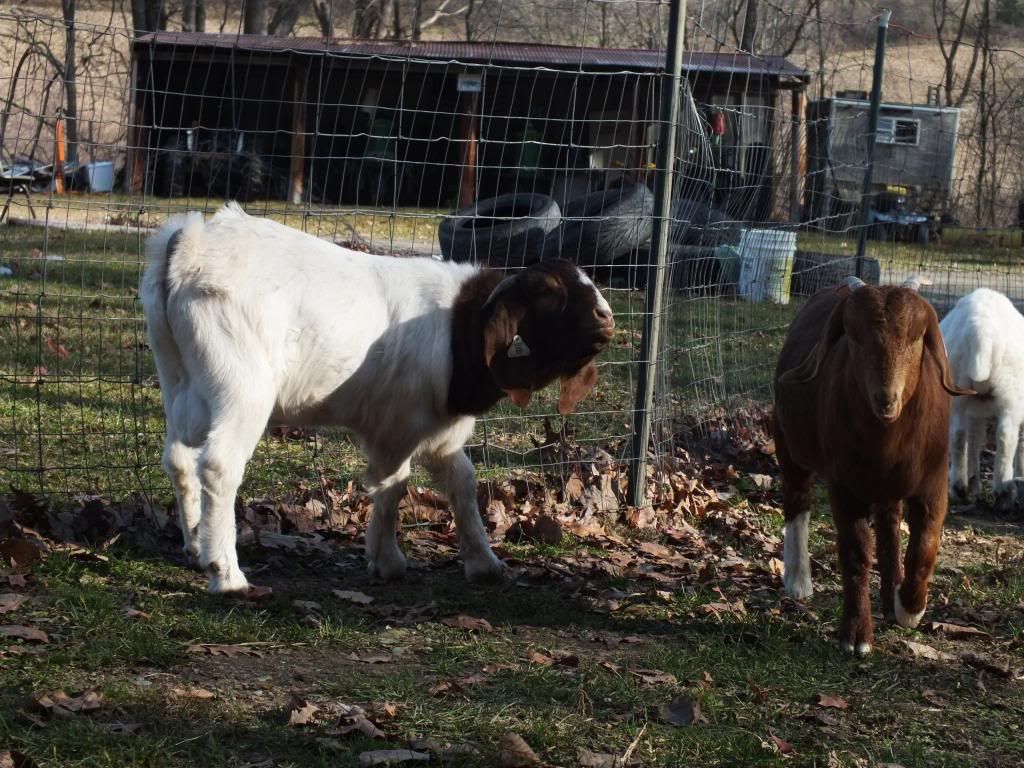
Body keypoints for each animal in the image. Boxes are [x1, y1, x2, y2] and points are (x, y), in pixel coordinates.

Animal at [141, 203, 615, 594]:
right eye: (549, 290)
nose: (607, 316)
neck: (458, 326)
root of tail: (189, 246)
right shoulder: (398, 425)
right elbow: (393, 484)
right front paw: (387, 561)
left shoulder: (437, 431)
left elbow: (461, 481)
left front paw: (484, 564)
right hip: (241, 386)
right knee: (219, 466)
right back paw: (227, 574)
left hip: (179, 379)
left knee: (179, 457)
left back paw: (196, 545)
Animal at [772, 276, 972, 655]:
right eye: (853, 336)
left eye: (916, 337)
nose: (885, 398)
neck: (887, 442)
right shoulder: (843, 485)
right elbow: (855, 554)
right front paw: (856, 636)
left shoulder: (933, 483)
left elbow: (924, 547)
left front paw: (909, 607)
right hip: (788, 442)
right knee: (797, 498)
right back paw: (798, 580)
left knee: (890, 523)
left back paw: (891, 592)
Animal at [940, 288, 1024, 511]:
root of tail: (981, 331)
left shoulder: (975, 409)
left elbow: (975, 438)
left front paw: (973, 483)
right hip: (1010, 394)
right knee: (1005, 437)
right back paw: (1004, 493)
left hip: (957, 388)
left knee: (958, 436)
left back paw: (960, 488)